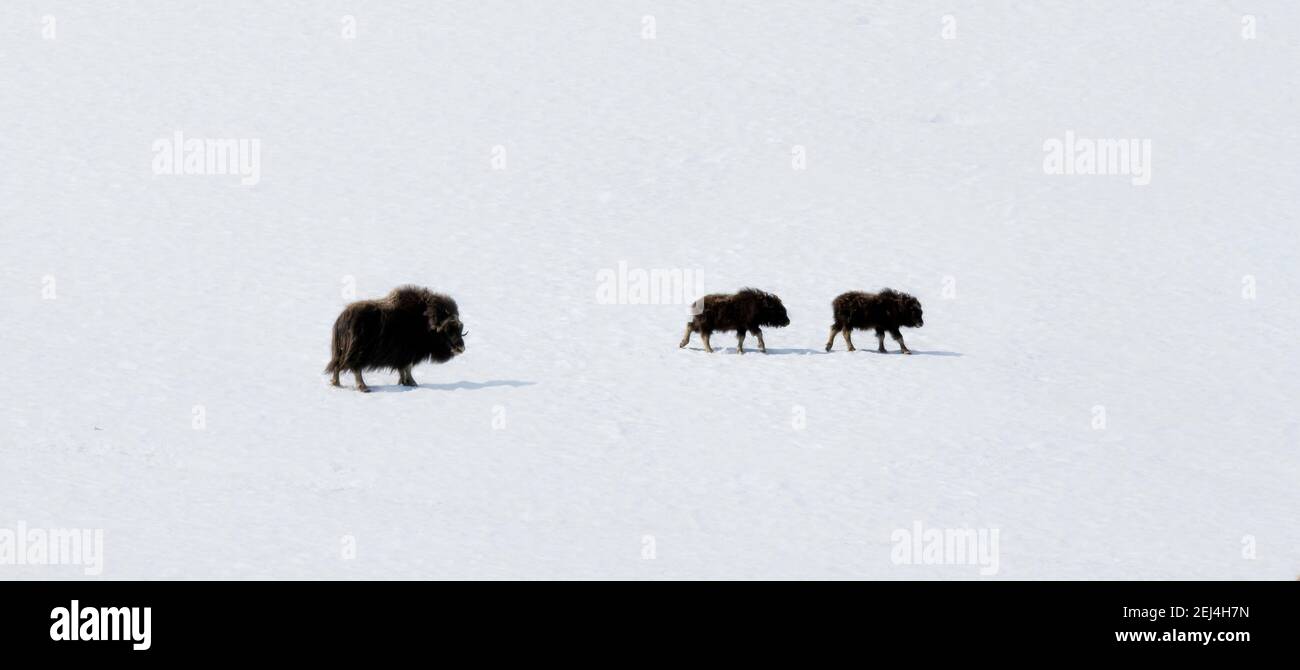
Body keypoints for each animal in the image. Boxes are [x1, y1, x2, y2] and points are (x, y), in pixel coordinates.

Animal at [325, 284, 467, 392]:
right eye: (448, 330)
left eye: (460, 328)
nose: (461, 348)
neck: (425, 322)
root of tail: (341, 320)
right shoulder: (408, 353)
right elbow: (407, 368)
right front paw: (412, 382)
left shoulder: (404, 356)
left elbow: (403, 369)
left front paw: (405, 382)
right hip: (358, 353)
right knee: (355, 369)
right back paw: (364, 388)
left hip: (342, 353)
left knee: (337, 367)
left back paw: (336, 383)